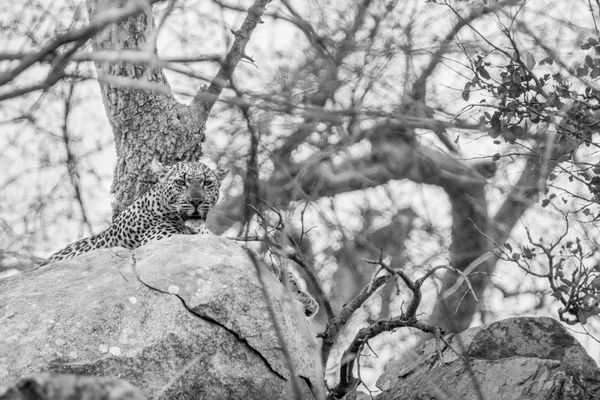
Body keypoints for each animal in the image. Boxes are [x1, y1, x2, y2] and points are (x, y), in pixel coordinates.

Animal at [41, 159, 318, 318]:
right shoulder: (164, 239)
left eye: (207, 183)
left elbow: (264, 260)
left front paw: (304, 297)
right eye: (180, 182)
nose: (195, 200)